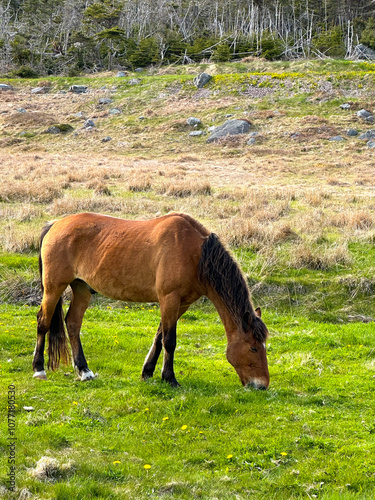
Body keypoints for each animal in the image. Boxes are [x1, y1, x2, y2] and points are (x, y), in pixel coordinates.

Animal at [33, 213, 270, 388]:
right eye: (253, 348)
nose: (262, 385)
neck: (195, 254)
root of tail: (55, 224)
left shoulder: (182, 303)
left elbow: (159, 337)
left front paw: (147, 372)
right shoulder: (169, 298)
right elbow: (169, 340)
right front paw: (170, 378)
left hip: (81, 288)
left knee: (73, 323)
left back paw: (84, 371)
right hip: (54, 288)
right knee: (43, 322)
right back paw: (39, 369)